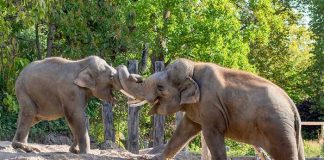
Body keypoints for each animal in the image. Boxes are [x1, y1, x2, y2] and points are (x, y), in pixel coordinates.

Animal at [117, 58, 306, 160]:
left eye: (160, 87)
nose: (136, 75)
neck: (194, 68)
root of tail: (292, 104)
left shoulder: (211, 108)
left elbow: (211, 136)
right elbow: (184, 130)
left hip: (278, 128)